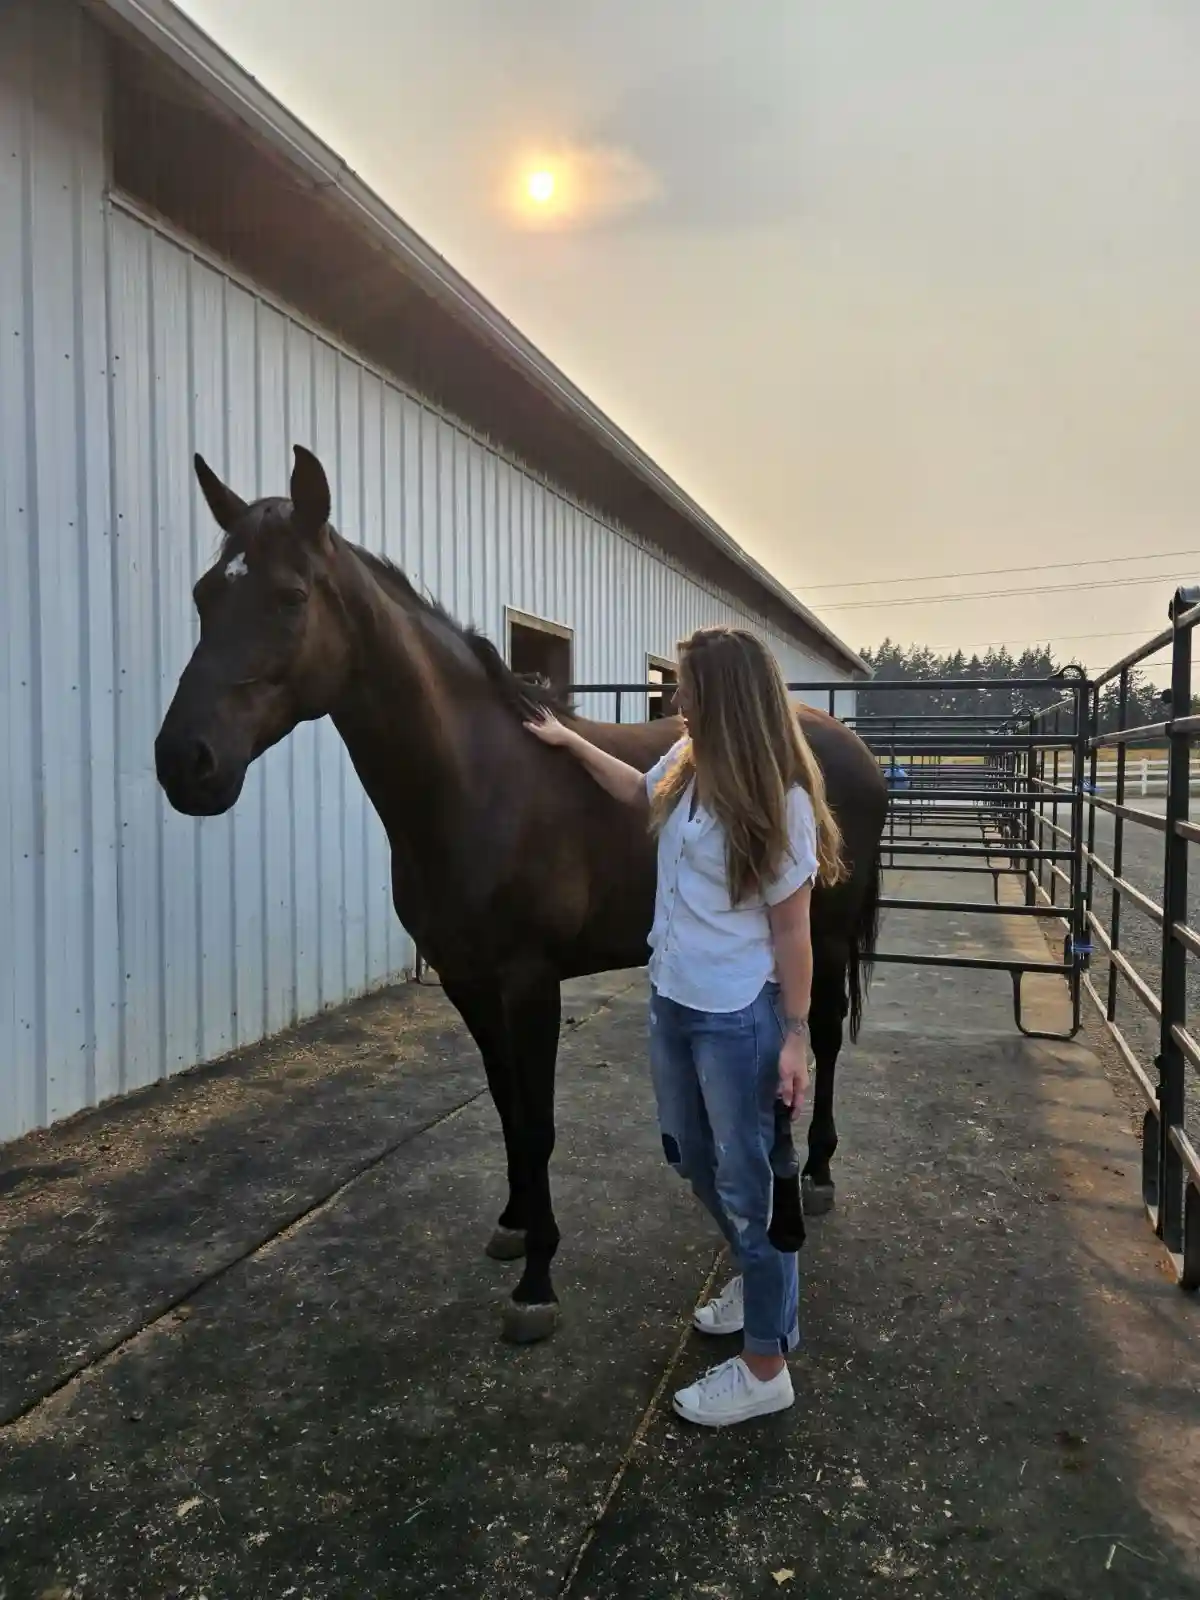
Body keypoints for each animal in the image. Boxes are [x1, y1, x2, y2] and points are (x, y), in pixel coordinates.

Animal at [155, 446, 888, 1344]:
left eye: (291, 597)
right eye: (204, 594)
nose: (184, 762)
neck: (478, 783)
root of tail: (844, 742)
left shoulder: (530, 981)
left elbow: (536, 1121)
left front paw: (538, 1280)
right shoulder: (467, 982)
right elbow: (505, 1105)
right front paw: (512, 1226)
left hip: (826, 932)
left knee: (818, 1037)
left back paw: (814, 1173)